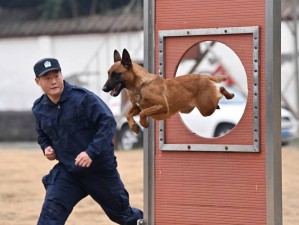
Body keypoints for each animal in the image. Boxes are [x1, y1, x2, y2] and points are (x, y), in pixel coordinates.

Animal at [104, 48, 236, 134]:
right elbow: (128, 114)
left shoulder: (162, 106)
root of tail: (204, 75)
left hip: (206, 108)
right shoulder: (136, 107)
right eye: (108, 74)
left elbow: (143, 112)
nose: (103, 89)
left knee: (220, 92)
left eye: (116, 74)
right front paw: (133, 127)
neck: (141, 85)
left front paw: (144, 123)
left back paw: (228, 94)